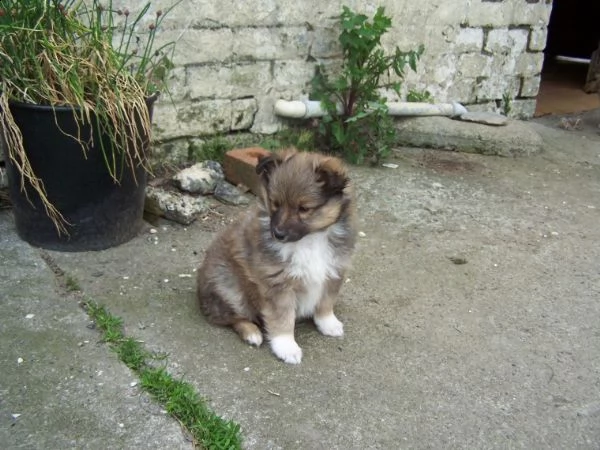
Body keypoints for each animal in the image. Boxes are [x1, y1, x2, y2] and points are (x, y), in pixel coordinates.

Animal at [197, 149, 356, 364]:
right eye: (275, 203)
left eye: (304, 208)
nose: (278, 234)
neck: (310, 239)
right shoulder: (277, 284)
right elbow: (283, 318)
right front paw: (286, 347)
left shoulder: (334, 271)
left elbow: (326, 302)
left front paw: (327, 323)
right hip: (229, 287)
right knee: (229, 318)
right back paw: (252, 333)